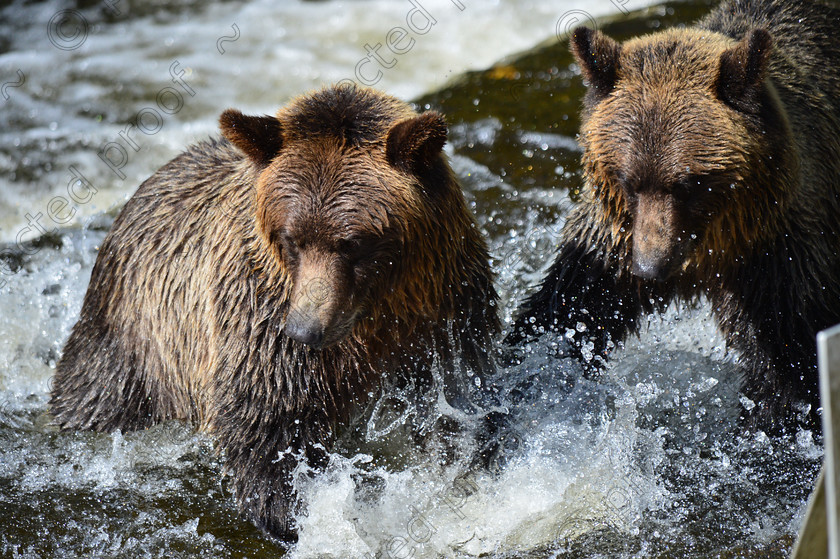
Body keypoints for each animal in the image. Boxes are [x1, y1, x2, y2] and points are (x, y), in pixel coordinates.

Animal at [49, 85, 498, 544]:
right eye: (291, 238)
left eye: (353, 243)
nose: (305, 329)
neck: (373, 320)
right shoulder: (261, 324)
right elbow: (267, 427)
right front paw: (291, 513)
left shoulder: (444, 314)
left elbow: (457, 402)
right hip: (134, 346)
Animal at [508, 0, 840, 434]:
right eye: (628, 180)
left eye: (689, 183)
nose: (651, 268)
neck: (710, 250)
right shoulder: (613, 245)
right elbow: (565, 312)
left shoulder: (774, 258)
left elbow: (787, 363)